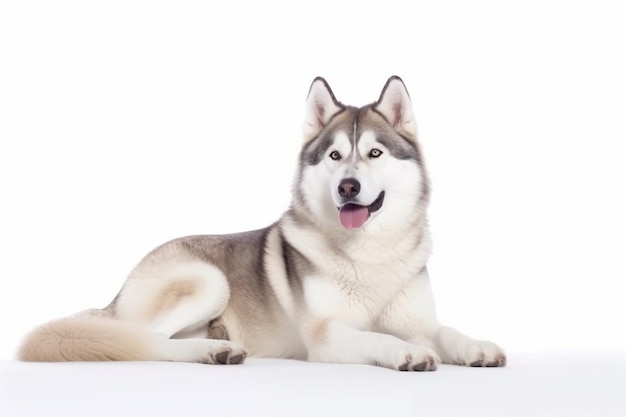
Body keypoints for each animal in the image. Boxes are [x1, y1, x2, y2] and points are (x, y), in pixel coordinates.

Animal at [19, 76, 504, 368]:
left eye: (374, 153)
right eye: (334, 156)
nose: (347, 187)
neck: (369, 255)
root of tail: (115, 297)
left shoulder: (419, 320)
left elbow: (446, 331)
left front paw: (476, 346)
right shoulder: (327, 337)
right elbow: (379, 339)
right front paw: (407, 353)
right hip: (207, 279)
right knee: (145, 342)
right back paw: (213, 349)